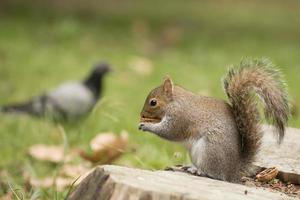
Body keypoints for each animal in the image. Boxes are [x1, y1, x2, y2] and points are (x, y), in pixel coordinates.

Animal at [138, 58, 288, 183]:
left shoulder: (179, 118)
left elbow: (169, 132)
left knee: (214, 174)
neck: (175, 102)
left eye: (153, 102)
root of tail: (233, 171)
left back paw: (197, 170)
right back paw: (186, 167)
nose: (142, 114)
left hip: (209, 150)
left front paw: (145, 125)